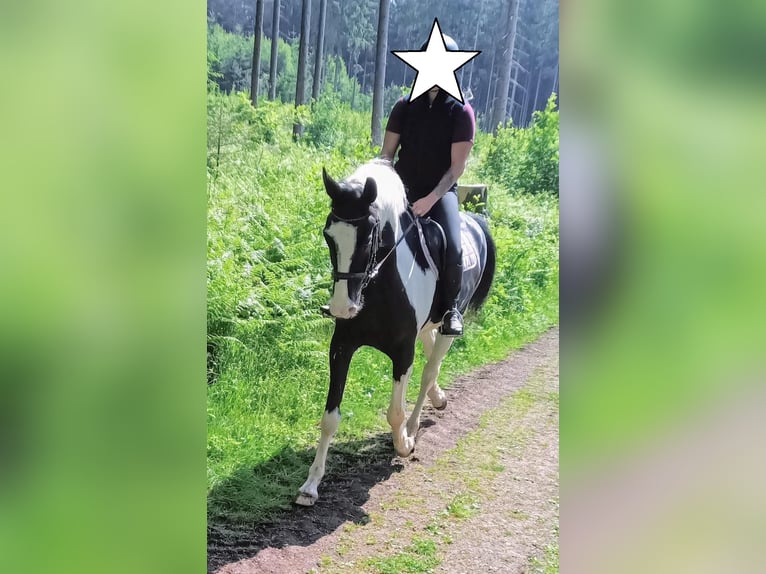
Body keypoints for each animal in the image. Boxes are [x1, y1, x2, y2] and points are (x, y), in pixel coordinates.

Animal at [296, 159, 496, 506]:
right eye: (328, 235)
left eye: (368, 237)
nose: (342, 307)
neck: (380, 284)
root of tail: (474, 221)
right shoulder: (342, 346)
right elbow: (330, 418)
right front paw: (311, 486)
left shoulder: (402, 352)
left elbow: (395, 412)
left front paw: (403, 444)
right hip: (427, 328)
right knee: (431, 355)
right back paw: (439, 399)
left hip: (448, 325)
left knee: (430, 371)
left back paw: (416, 425)